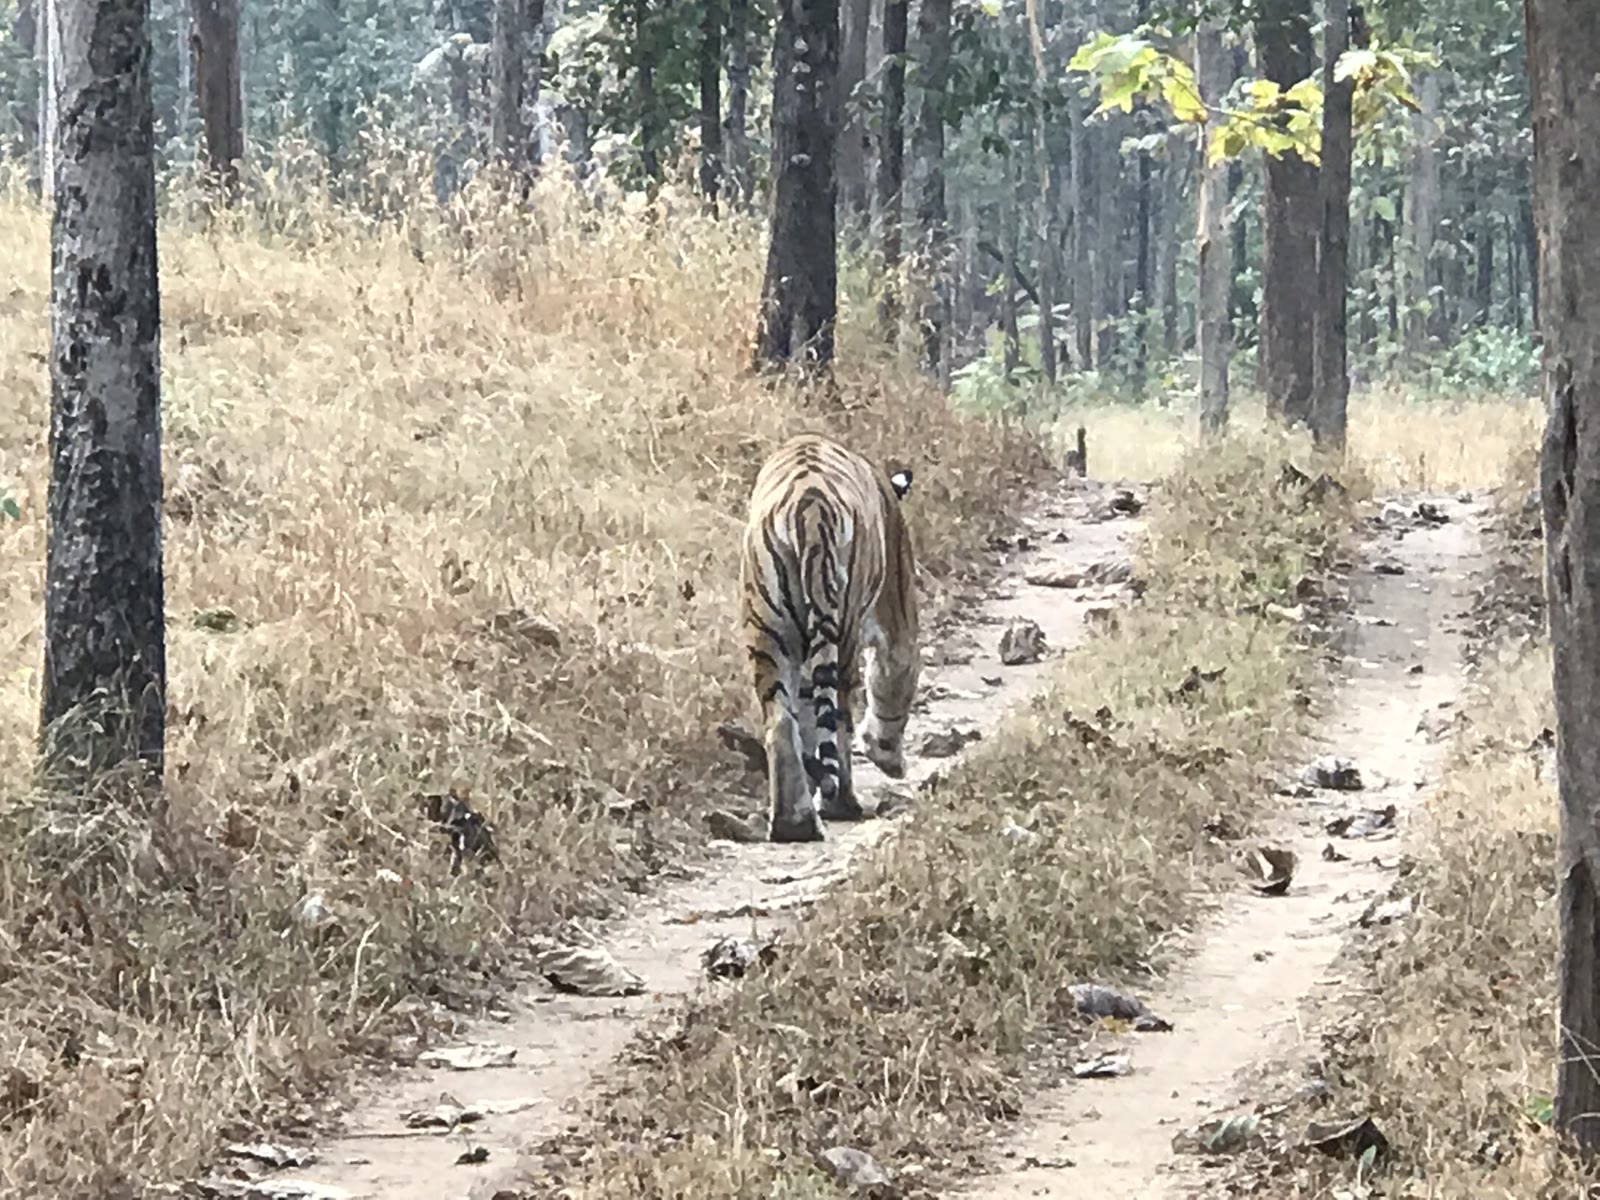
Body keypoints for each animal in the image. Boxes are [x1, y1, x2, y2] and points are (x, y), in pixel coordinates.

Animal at [739, 433, 921, 843]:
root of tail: (809, 506)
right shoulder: (898, 615)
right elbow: (894, 680)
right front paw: (887, 756)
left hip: (768, 633)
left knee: (780, 721)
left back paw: (795, 823)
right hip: (842, 634)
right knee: (837, 717)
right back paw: (841, 805)